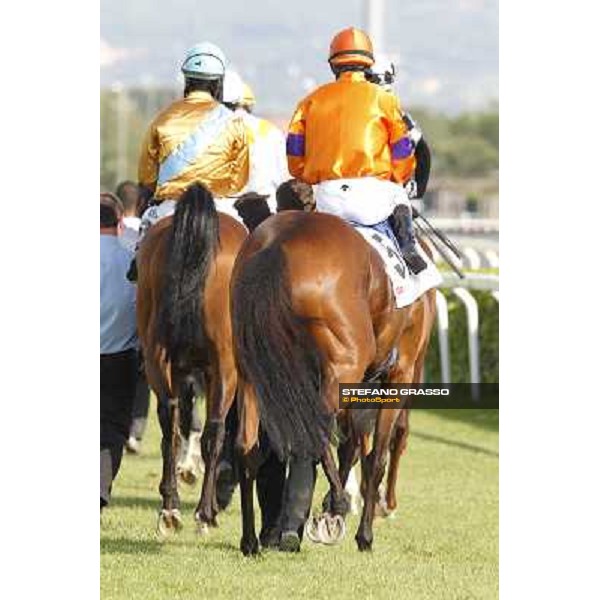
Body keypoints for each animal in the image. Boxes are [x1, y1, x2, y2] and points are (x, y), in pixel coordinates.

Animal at [136, 184, 246, 536]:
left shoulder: (184, 372)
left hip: (159, 359)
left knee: (169, 421)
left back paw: (170, 508)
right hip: (225, 368)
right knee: (214, 431)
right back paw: (203, 512)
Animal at [231, 210, 436, 552]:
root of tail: (278, 242)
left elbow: (353, 444)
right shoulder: (400, 373)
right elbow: (374, 456)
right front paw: (362, 533)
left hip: (253, 370)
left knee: (248, 447)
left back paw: (252, 540)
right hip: (344, 366)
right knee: (317, 434)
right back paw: (334, 504)